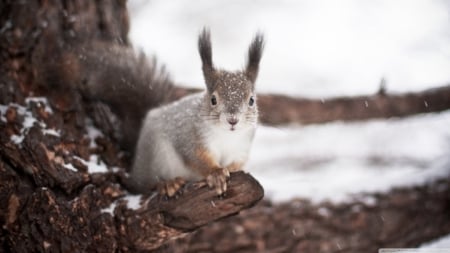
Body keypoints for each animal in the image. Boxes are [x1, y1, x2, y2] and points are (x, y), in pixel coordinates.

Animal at [37, 28, 266, 196]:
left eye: (251, 100)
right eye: (213, 99)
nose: (233, 120)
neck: (226, 136)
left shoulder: (242, 149)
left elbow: (237, 164)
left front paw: (232, 170)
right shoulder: (190, 137)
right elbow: (196, 158)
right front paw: (216, 174)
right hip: (156, 156)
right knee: (144, 186)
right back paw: (166, 184)